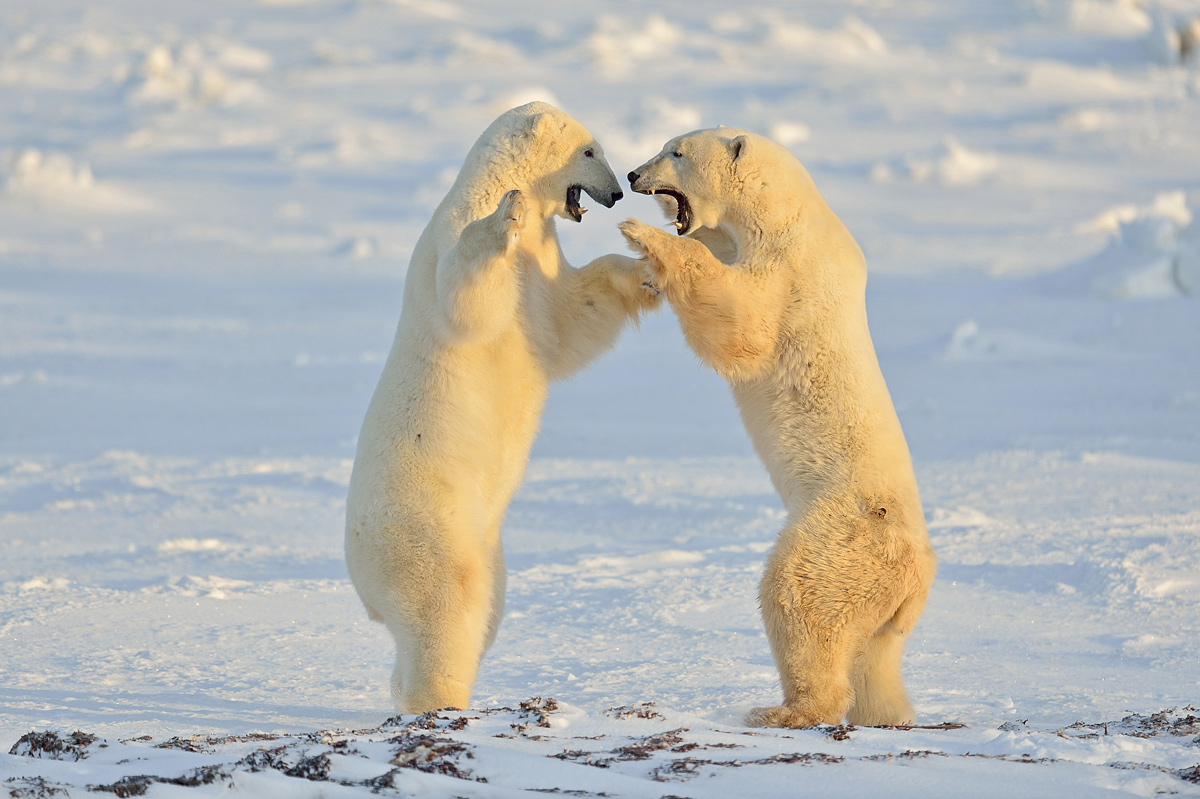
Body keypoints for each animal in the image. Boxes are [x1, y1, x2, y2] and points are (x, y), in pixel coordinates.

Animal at [348, 102, 662, 710]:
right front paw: (506, 216)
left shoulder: (546, 268)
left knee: (484, 613)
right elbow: (467, 299)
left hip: (487, 543)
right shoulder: (450, 239)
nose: (616, 193)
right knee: (447, 607)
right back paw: (440, 700)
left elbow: (569, 320)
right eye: (590, 150)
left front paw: (648, 269)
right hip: (429, 527)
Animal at [619, 125, 936, 729]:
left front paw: (640, 236)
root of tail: (918, 574)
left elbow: (743, 322)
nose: (632, 175)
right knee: (876, 661)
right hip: (885, 607)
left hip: (841, 536)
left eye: (677, 152)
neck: (788, 212)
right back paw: (884, 714)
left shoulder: (792, 271)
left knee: (800, 597)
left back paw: (781, 710)